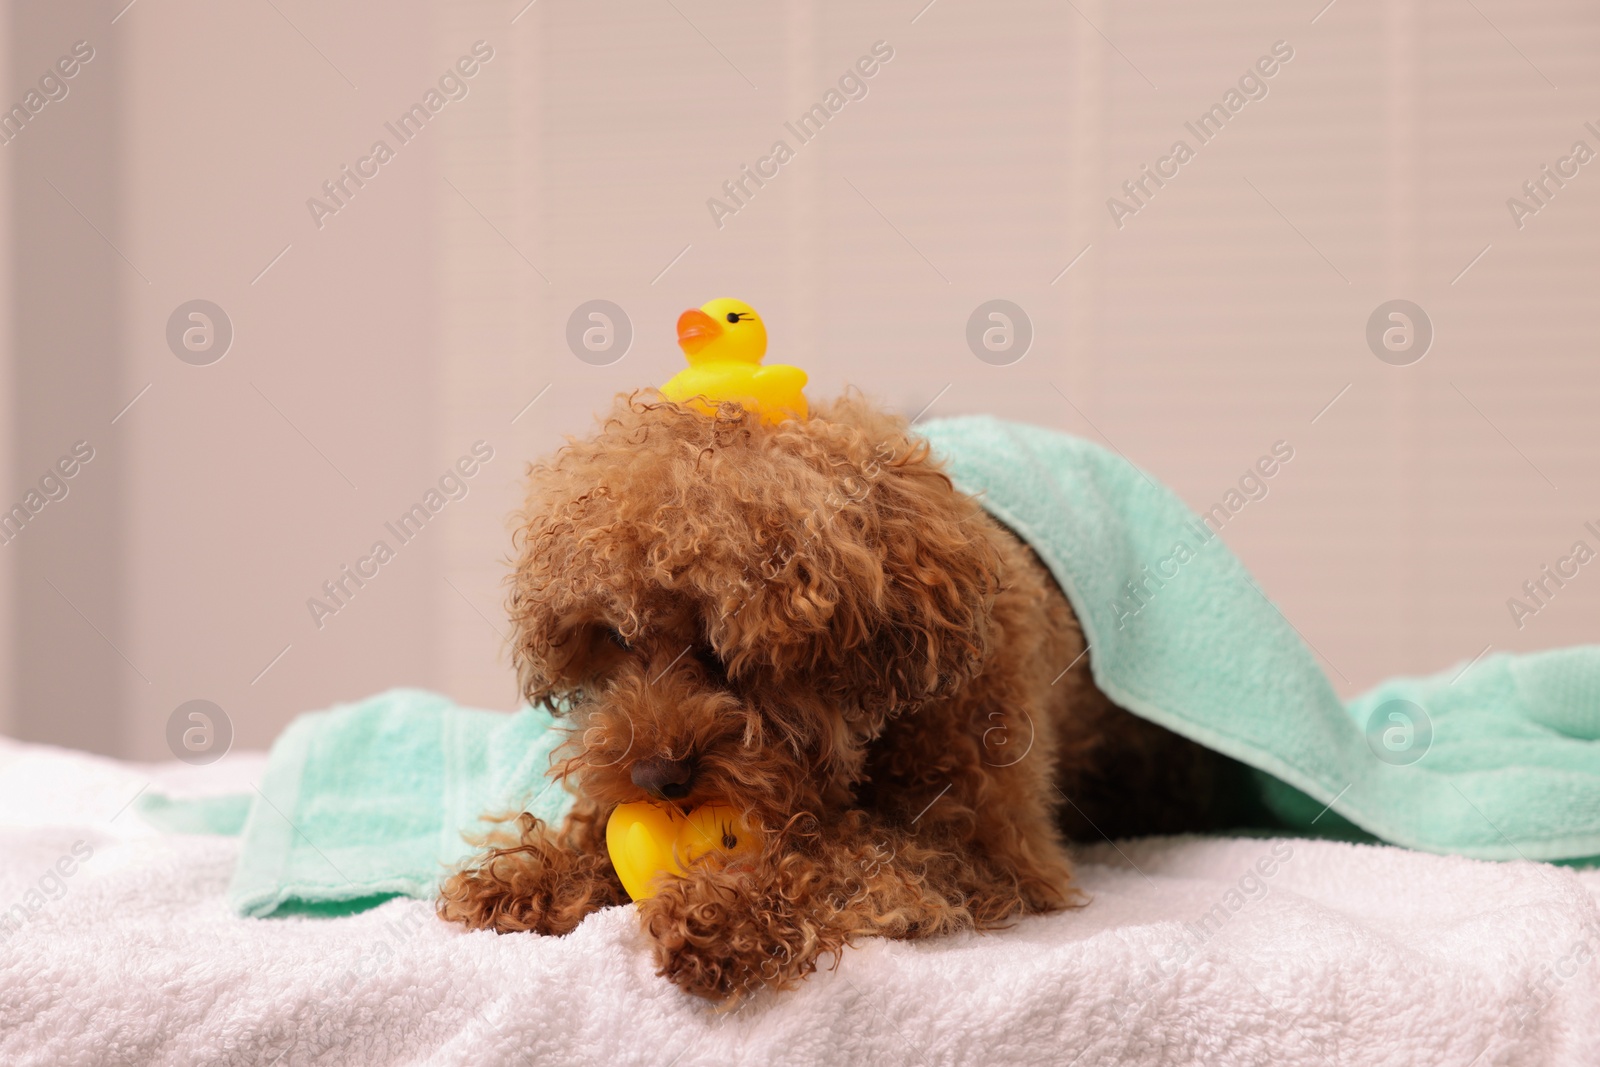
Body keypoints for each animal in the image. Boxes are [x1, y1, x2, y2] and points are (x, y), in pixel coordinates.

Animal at [441, 390, 1248, 1004]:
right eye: (614, 636)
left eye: (723, 647)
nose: (655, 779)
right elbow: (595, 837)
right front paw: (529, 875)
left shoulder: (997, 854)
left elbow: (846, 855)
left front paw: (723, 912)